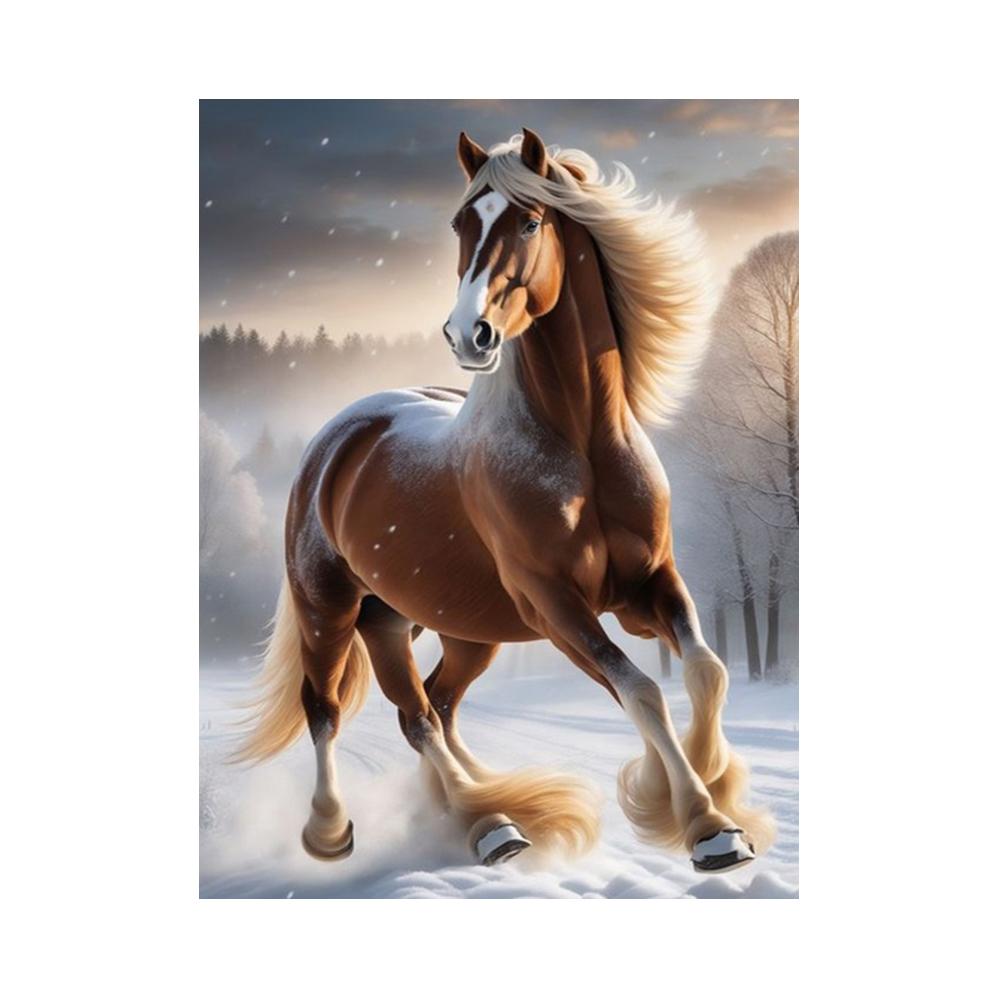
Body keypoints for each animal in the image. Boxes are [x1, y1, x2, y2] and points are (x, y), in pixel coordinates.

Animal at [233, 128, 775, 874]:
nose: (469, 335)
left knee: (432, 708)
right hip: (333, 610)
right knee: (344, 711)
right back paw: (362, 828)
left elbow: (706, 670)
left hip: (441, 626)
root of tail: (338, 438)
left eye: (529, 221)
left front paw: (708, 798)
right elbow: (640, 690)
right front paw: (705, 824)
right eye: (461, 223)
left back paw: (484, 815)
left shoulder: (650, 586)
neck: (582, 442)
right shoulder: (554, 604)